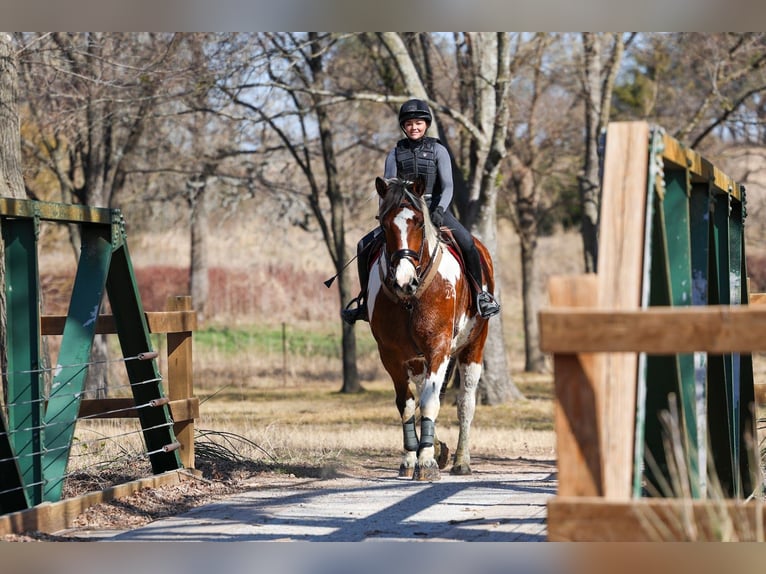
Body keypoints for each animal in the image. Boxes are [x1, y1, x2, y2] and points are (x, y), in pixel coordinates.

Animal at [367, 175, 495, 481]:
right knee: (424, 391)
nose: (404, 281)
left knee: (465, 402)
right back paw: (438, 447)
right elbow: (407, 404)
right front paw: (411, 458)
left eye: (418, 222)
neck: (410, 299)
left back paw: (461, 461)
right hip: (417, 360)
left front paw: (426, 462)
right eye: (384, 223)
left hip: (473, 347)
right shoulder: (392, 355)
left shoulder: (438, 348)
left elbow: (429, 403)